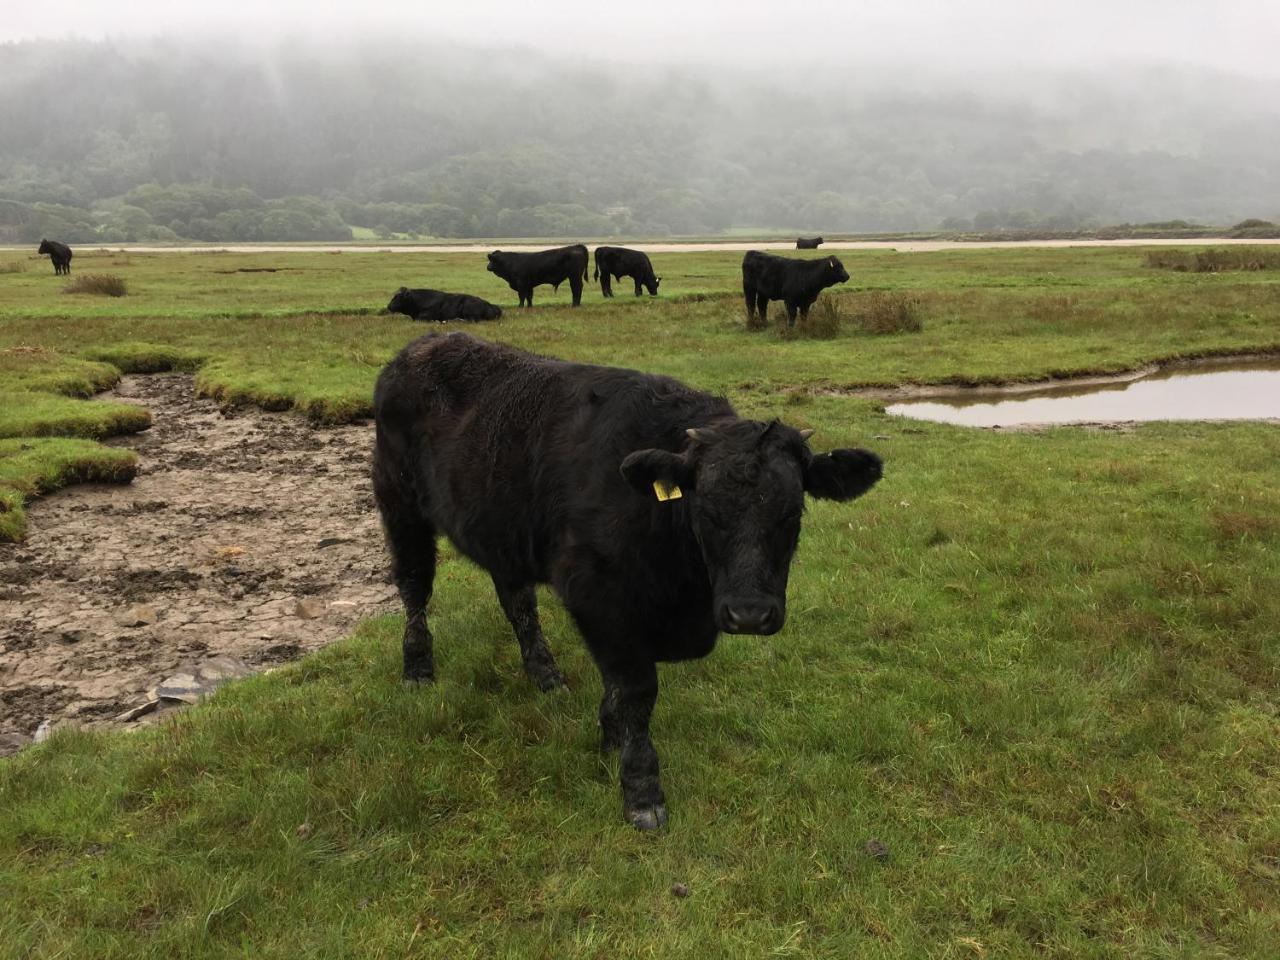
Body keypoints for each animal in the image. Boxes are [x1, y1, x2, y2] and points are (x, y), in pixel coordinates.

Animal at [373, 335, 885, 829]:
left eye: (793, 511)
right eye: (704, 510)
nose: (749, 614)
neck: (684, 596)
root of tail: (420, 346)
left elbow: (617, 691)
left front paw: (609, 740)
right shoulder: (595, 594)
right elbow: (636, 691)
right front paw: (641, 789)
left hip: (501, 526)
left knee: (516, 601)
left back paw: (546, 674)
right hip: (400, 503)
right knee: (415, 586)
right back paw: (418, 669)